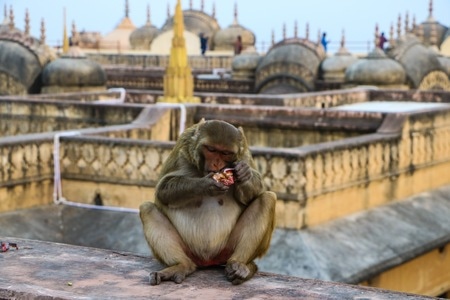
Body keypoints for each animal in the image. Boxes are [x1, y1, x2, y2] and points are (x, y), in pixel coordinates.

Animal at [139, 118, 276, 284]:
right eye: (211, 149)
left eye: (225, 153)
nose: (216, 164)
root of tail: (208, 261)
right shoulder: (183, 146)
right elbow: (163, 190)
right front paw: (206, 185)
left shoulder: (243, 153)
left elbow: (256, 193)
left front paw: (245, 173)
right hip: (189, 251)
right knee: (147, 209)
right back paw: (180, 266)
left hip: (226, 249)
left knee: (266, 199)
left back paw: (239, 265)